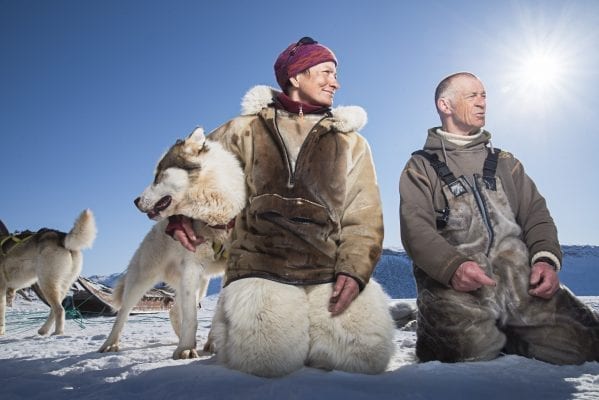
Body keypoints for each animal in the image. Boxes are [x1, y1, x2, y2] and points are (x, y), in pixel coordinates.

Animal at [99, 128, 245, 360]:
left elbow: (217, 310)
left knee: (175, 309)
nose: (135, 201)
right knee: (123, 313)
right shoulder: (192, 267)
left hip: (200, 283)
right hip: (142, 280)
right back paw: (110, 344)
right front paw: (186, 348)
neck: (216, 218)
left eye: (157, 176)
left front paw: (210, 342)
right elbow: (191, 317)